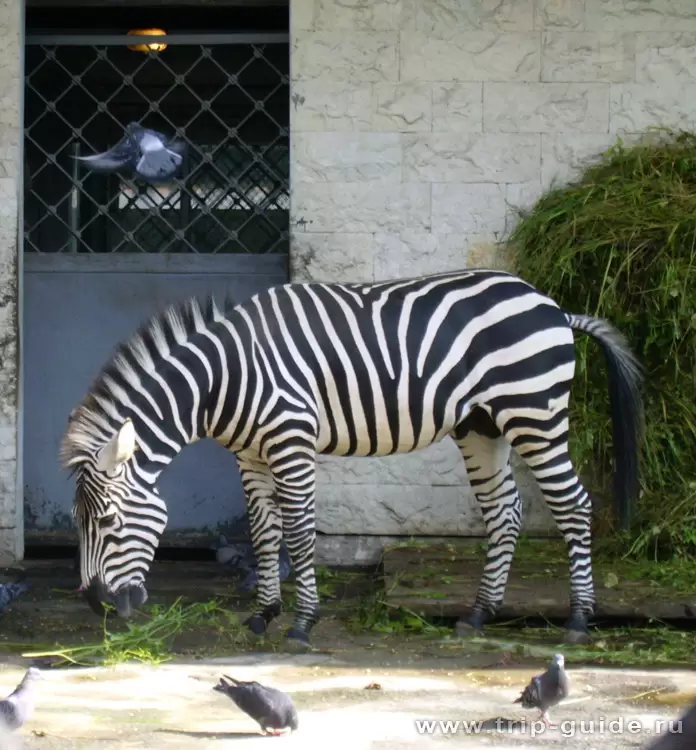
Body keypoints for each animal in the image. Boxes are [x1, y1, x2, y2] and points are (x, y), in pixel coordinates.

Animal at [59, 268, 640, 648]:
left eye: (108, 523)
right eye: (77, 522)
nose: (94, 604)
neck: (226, 380)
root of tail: (553, 305)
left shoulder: (290, 442)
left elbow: (298, 533)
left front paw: (301, 623)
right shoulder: (249, 456)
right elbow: (264, 533)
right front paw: (264, 614)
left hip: (533, 413)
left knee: (574, 506)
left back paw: (580, 620)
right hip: (481, 425)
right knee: (505, 512)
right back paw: (479, 614)